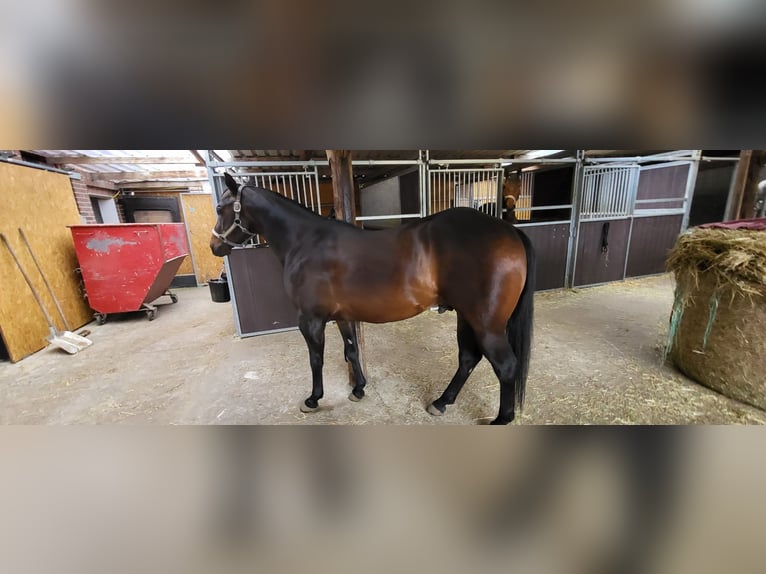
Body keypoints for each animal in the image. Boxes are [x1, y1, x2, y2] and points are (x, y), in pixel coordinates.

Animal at [210, 172, 535, 424]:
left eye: (219, 208)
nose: (214, 246)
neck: (305, 242)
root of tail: (509, 230)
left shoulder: (310, 320)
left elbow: (316, 359)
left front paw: (313, 399)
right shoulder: (342, 316)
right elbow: (351, 350)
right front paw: (359, 390)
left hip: (486, 324)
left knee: (505, 365)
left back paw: (501, 419)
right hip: (466, 316)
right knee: (468, 358)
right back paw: (442, 402)